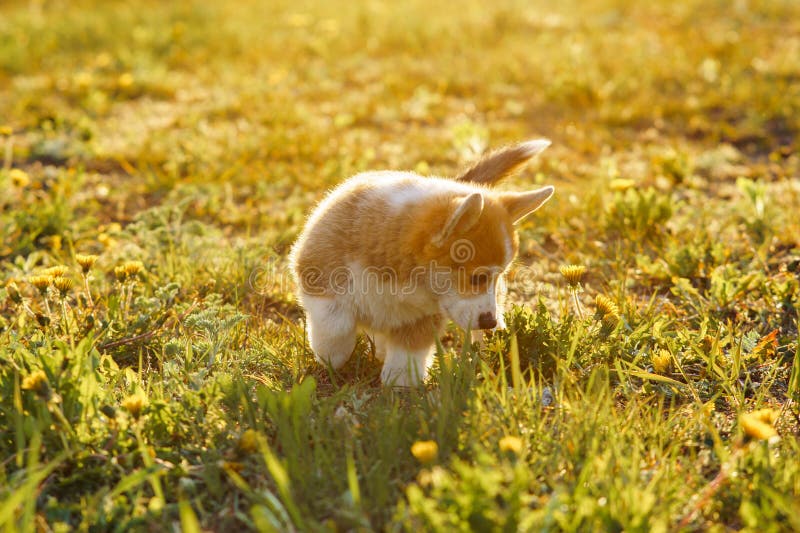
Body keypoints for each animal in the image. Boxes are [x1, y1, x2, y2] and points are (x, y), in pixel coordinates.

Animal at [290, 139, 556, 384]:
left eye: (499, 276)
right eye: (477, 277)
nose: (489, 321)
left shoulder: (422, 317)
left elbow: (408, 350)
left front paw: (400, 384)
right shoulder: (316, 276)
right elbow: (336, 325)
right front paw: (331, 356)